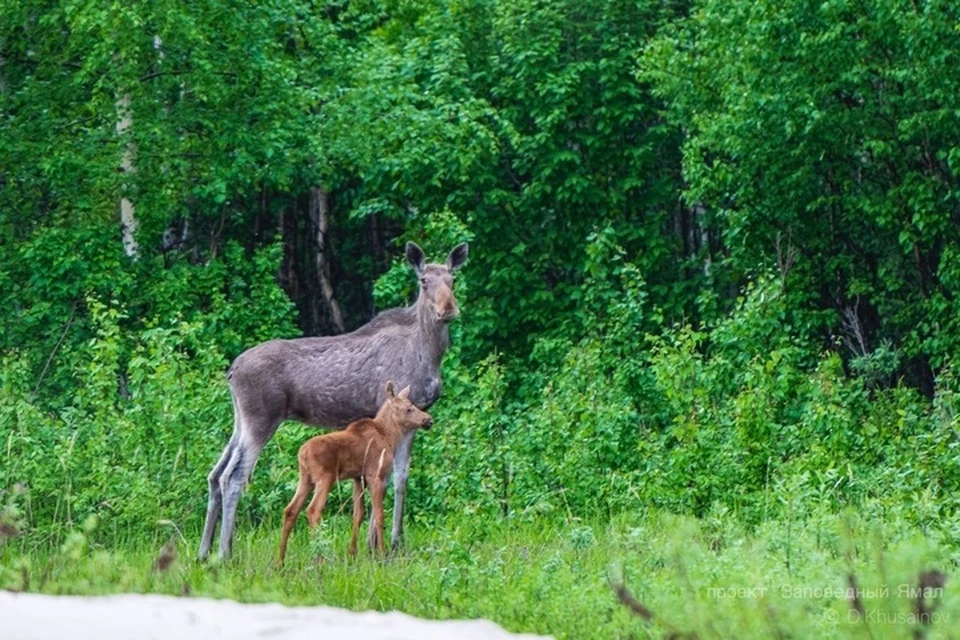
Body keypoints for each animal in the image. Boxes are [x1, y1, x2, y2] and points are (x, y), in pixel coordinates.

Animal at [274, 382, 432, 564]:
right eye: (408, 409)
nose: (428, 420)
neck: (390, 436)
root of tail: (302, 454)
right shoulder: (375, 474)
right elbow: (379, 515)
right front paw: (381, 553)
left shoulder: (357, 477)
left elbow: (358, 514)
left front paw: (352, 553)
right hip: (325, 478)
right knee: (313, 510)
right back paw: (320, 558)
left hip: (305, 479)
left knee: (290, 510)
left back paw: (280, 561)